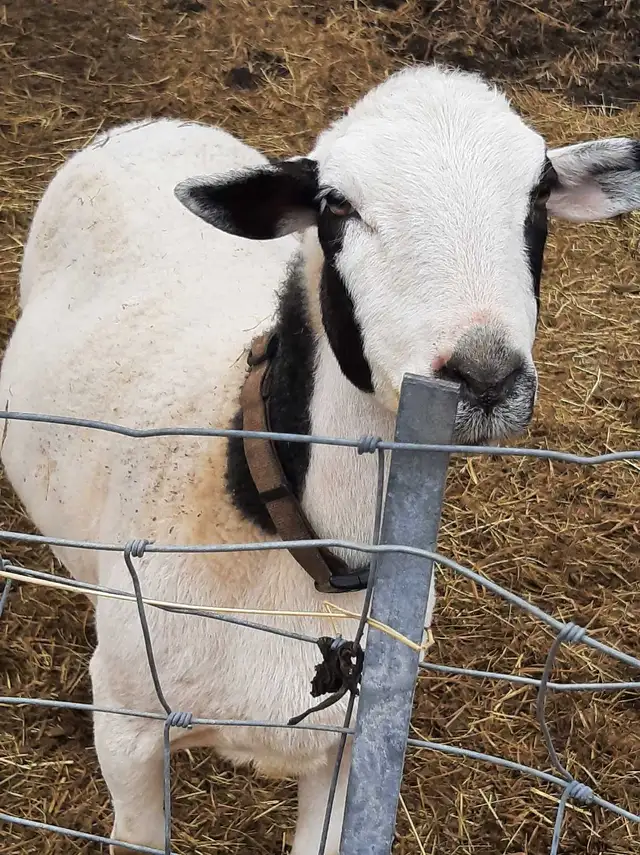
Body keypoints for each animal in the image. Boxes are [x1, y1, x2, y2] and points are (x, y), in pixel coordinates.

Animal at [1, 64, 638, 855]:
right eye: (336, 205)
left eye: (540, 193)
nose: (486, 376)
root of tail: (150, 122)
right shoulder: (126, 727)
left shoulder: (349, 752)